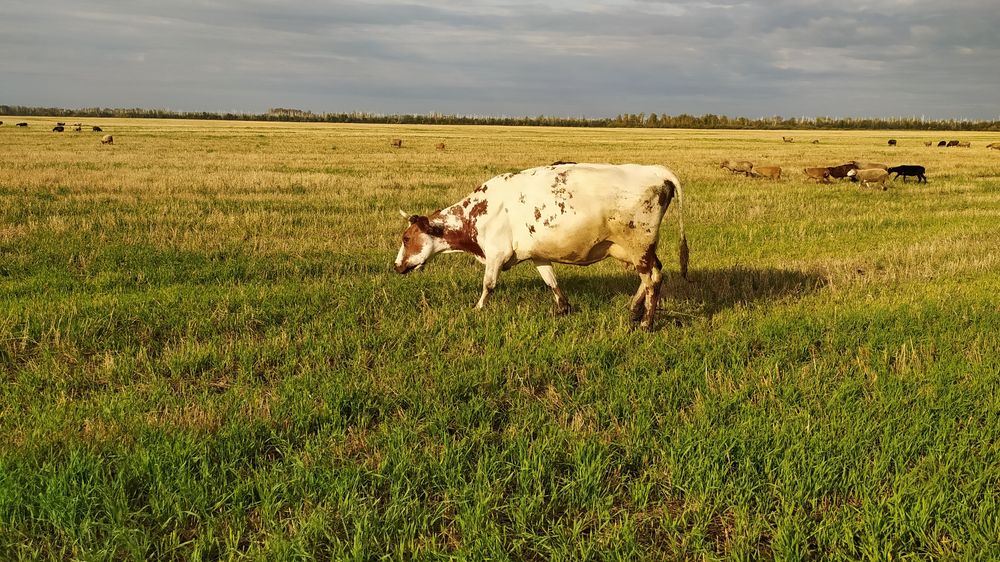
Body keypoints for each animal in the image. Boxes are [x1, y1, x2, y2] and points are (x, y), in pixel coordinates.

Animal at [394, 163, 688, 330]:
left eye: (406, 239)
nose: (397, 265)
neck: (478, 212)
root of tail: (655, 170)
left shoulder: (496, 253)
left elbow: (488, 284)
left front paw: (477, 308)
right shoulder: (537, 254)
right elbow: (551, 281)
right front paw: (563, 308)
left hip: (639, 245)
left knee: (653, 279)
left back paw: (647, 322)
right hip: (636, 249)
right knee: (651, 275)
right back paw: (634, 310)